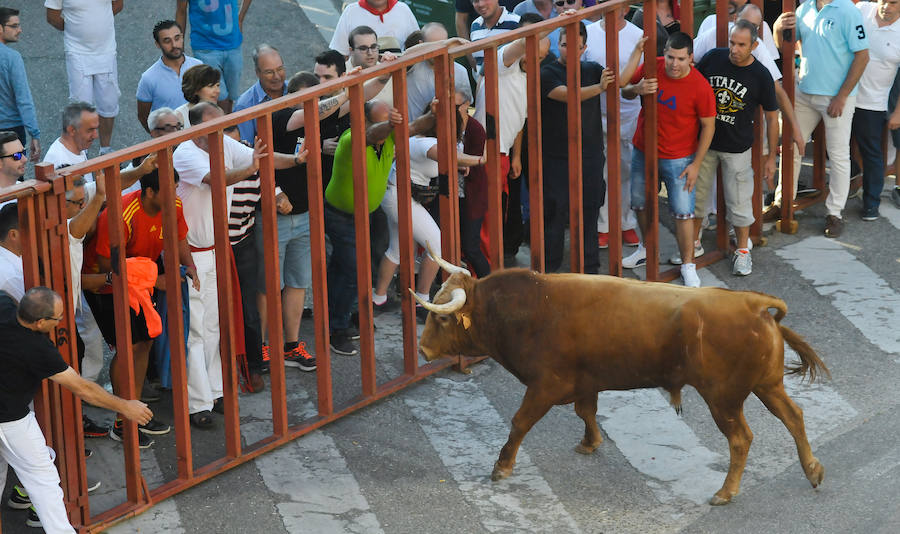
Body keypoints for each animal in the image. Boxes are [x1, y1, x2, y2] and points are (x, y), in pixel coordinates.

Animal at [414, 266, 828, 508]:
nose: (422, 349)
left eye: (442, 319)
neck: (526, 309)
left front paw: (501, 467)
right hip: (767, 385)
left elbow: (519, 423)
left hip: (723, 399)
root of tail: (754, 304)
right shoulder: (584, 382)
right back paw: (812, 470)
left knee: (741, 438)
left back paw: (726, 492)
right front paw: (590, 442)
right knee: (794, 416)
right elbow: (586, 411)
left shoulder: (545, 385)